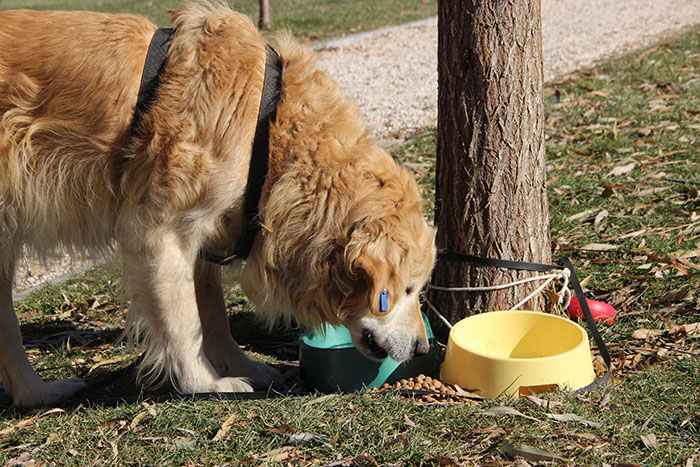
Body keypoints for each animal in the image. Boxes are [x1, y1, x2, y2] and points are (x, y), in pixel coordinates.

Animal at [0, 1, 434, 408]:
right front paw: (204, 383)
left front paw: (240, 366)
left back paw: (36, 393)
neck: (269, 129)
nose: (424, 348)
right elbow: (184, 323)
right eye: (407, 289)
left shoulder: (206, 232)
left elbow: (213, 316)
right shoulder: (157, 233)